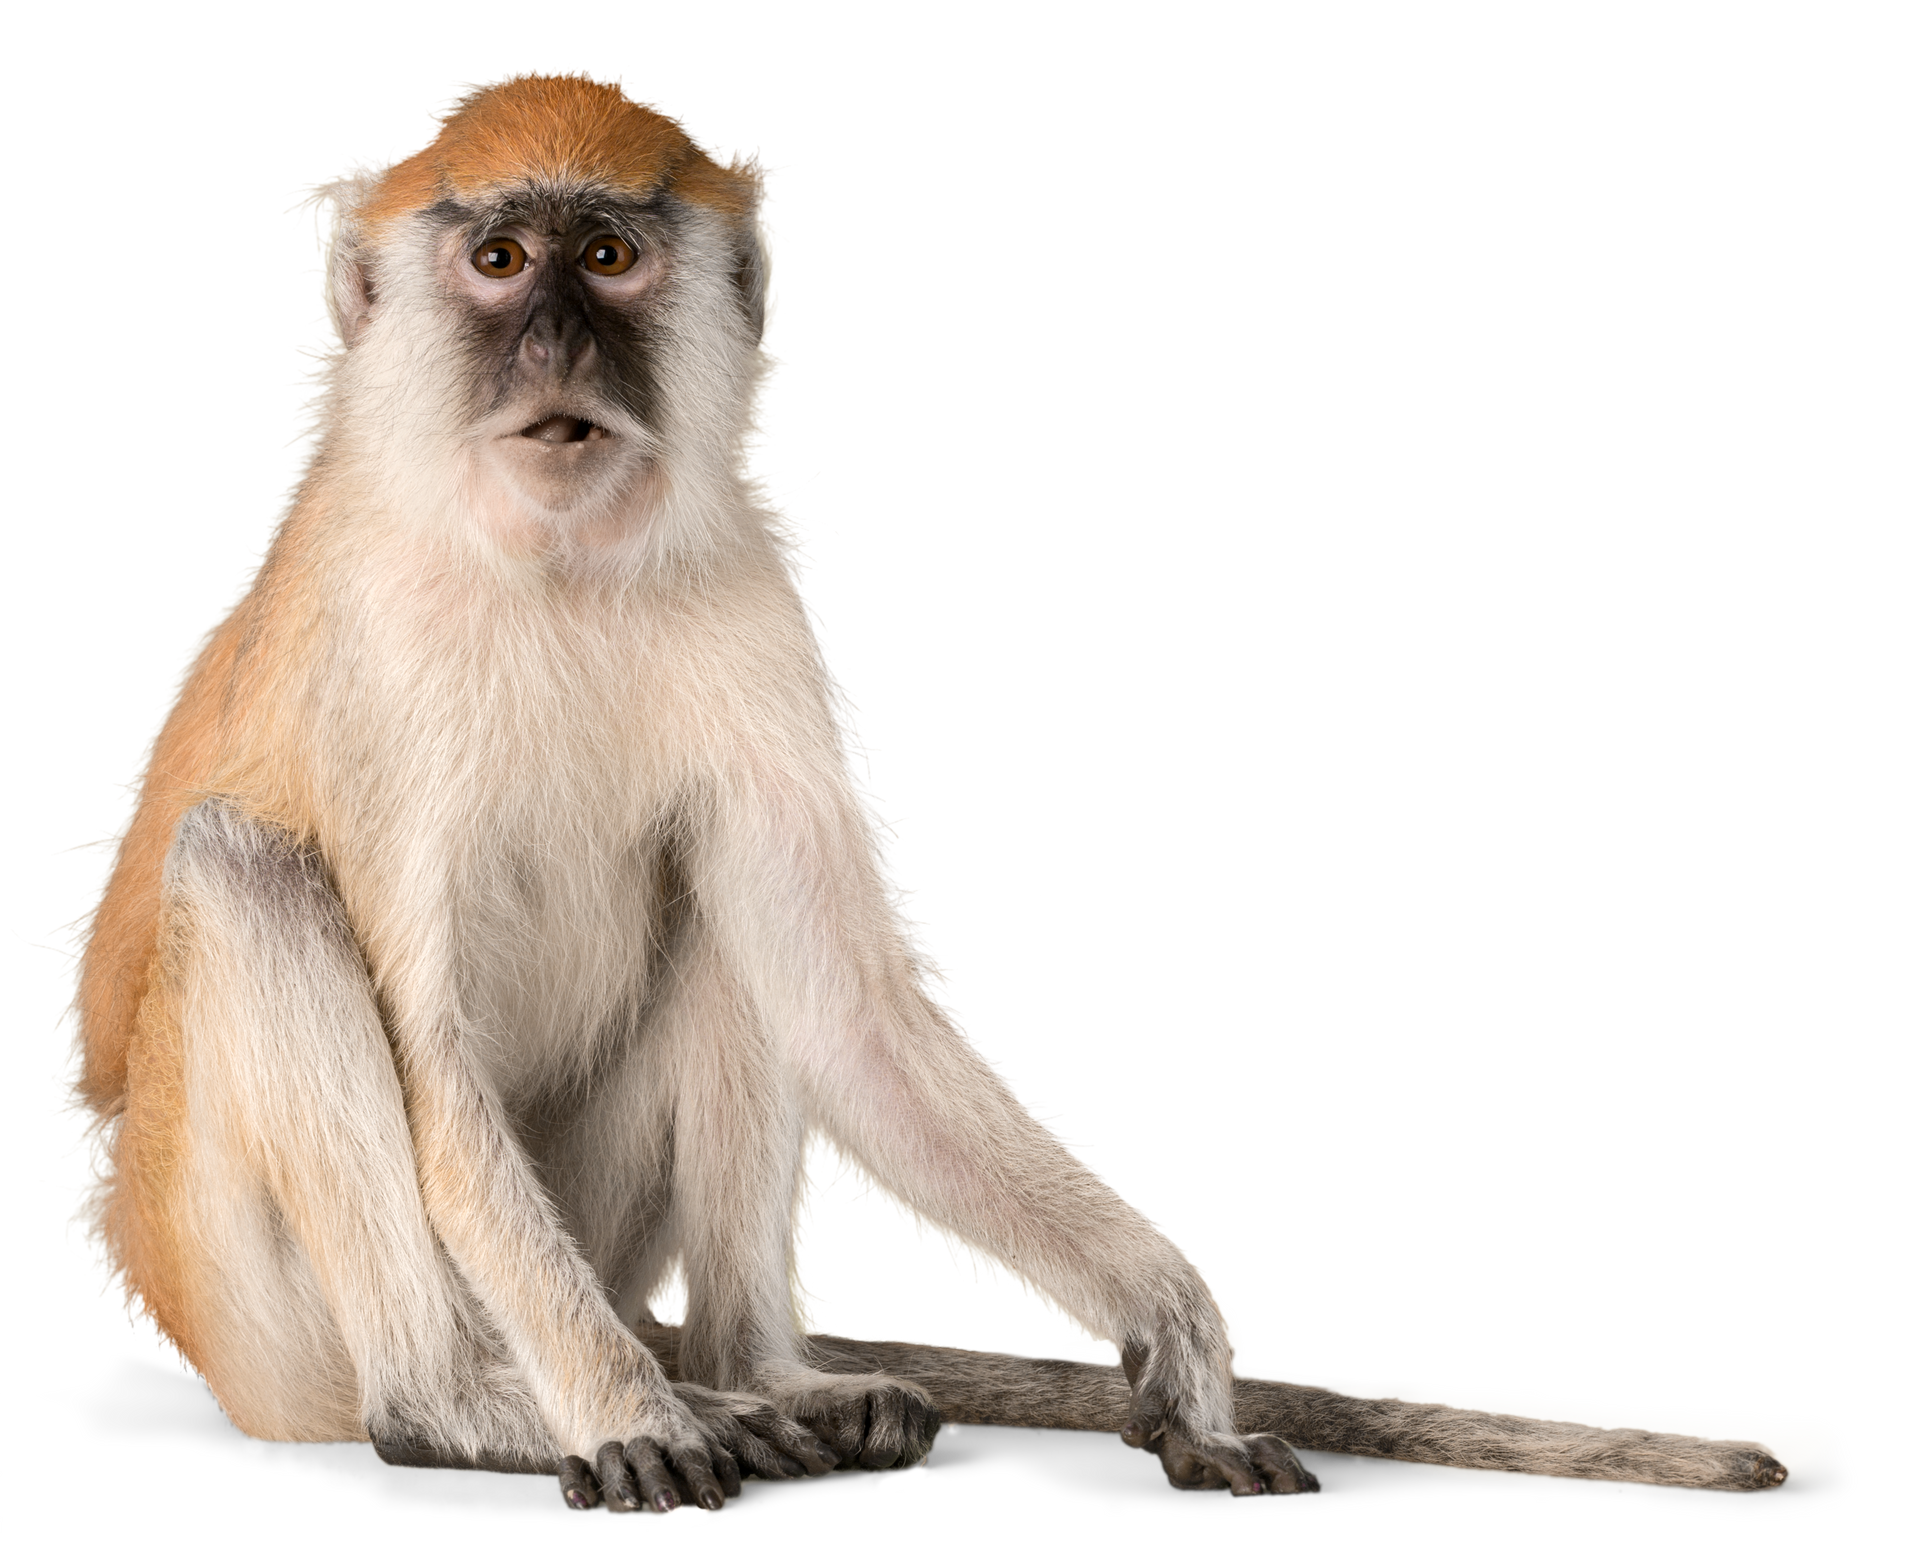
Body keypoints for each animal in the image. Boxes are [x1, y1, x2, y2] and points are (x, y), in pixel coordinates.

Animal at [37, 66, 1794, 1516]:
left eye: (604, 259)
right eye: (497, 262)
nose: (552, 346)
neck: (557, 564)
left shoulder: (756, 601)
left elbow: (857, 1007)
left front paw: (1176, 1328)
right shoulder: (378, 658)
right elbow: (435, 1068)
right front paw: (620, 1415)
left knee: (720, 911)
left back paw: (757, 1373)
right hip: (255, 1303)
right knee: (244, 870)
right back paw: (477, 1407)